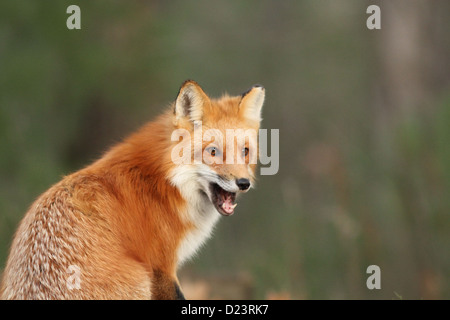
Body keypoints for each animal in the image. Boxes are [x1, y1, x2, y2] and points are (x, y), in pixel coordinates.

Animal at [0, 80, 264, 300]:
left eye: (245, 151)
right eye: (213, 152)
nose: (244, 183)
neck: (165, 182)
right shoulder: (160, 266)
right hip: (140, 282)